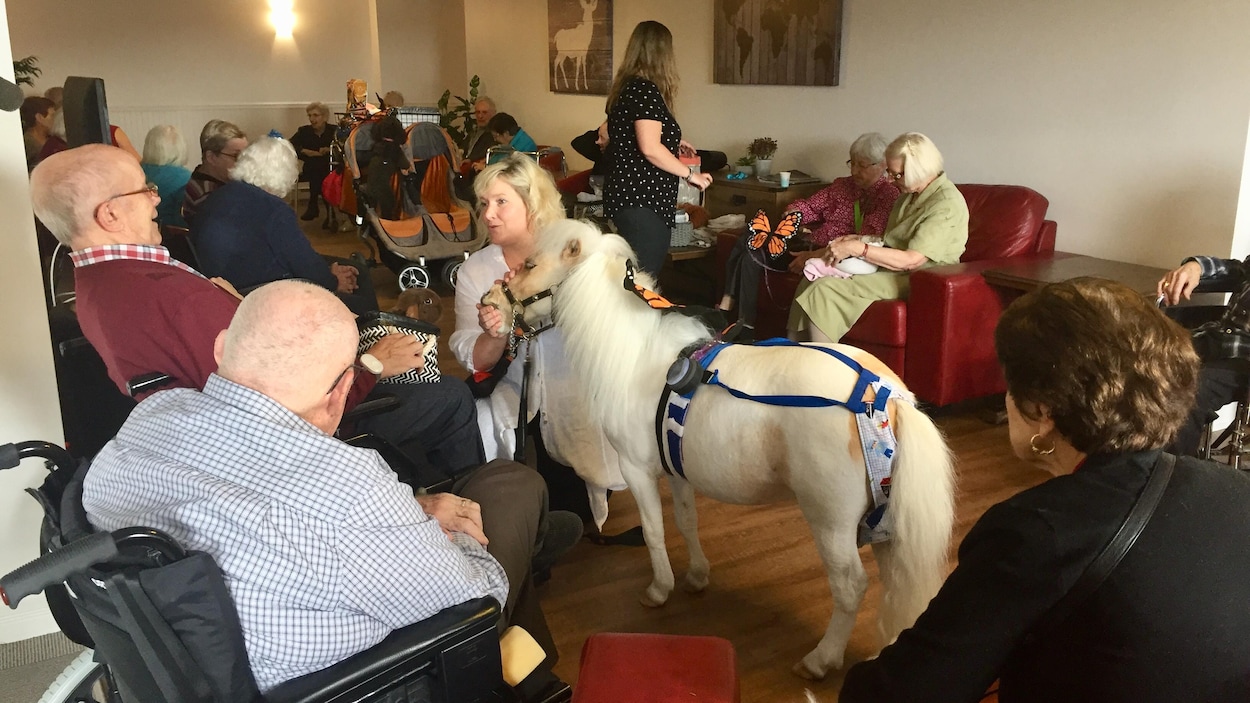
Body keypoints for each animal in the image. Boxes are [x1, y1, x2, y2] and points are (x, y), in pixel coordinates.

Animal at [482, 218, 950, 675]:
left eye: (529, 265)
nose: (489, 303)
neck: (633, 355)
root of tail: (885, 395)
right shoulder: (676, 468)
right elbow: (686, 522)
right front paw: (696, 577)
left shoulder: (637, 470)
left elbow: (653, 531)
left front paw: (660, 589)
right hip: (886, 523)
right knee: (898, 582)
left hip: (831, 523)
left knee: (852, 586)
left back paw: (821, 660)